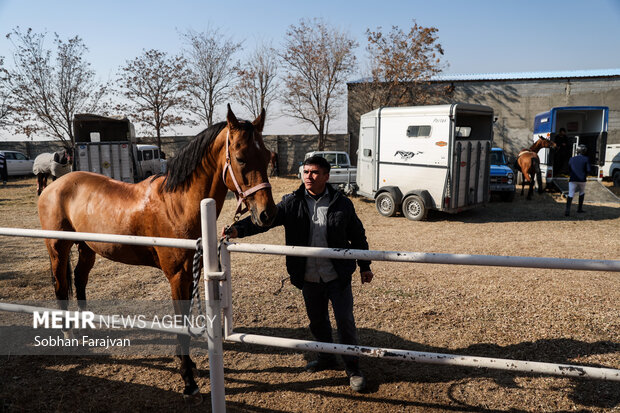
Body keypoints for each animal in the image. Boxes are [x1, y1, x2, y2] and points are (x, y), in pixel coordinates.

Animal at [39, 105, 278, 400]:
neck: (176, 204)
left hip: (87, 248)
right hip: (58, 248)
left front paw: (188, 366)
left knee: (80, 279)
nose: (267, 214)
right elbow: (180, 321)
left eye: (267, 156)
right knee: (61, 285)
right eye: (242, 158)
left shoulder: (191, 272)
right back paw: (68, 334)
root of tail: (52, 186)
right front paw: (188, 379)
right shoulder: (177, 275)